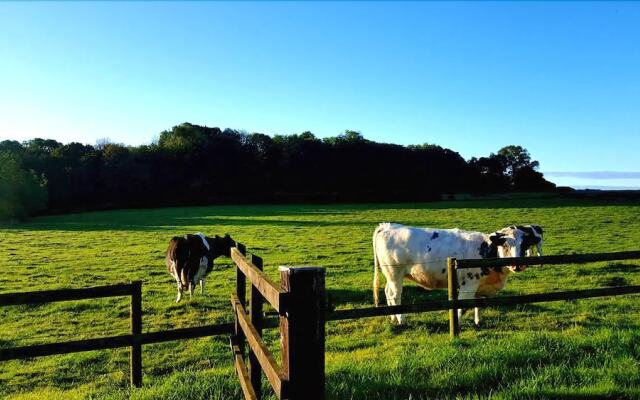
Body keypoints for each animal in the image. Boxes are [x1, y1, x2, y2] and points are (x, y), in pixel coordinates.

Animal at [372, 223, 544, 326]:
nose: (517, 264)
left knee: (387, 292)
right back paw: (401, 320)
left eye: (525, 244)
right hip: (395, 274)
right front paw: (458, 325)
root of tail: (387, 225)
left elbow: (478, 305)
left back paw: (393, 318)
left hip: (391, 276)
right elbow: (462, 306)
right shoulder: (468, 285)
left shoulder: (480, 288)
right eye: (506, 245)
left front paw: (477, 322)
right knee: (395, 295)